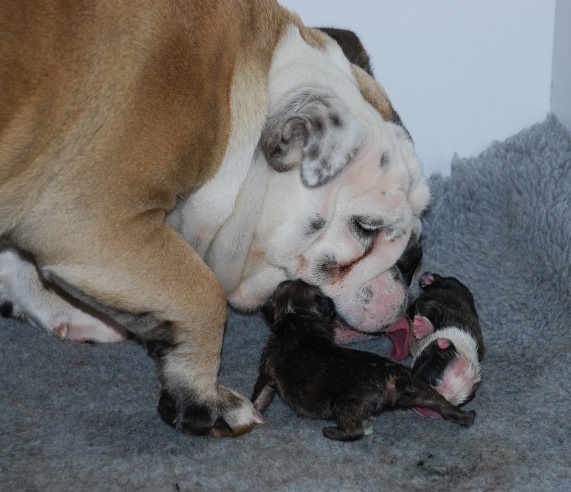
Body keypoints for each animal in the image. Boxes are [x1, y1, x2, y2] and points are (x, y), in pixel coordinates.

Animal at [252, 280, 476, 442]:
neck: (297, 316)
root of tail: (393, 376)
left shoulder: (267, 368)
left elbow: (261, 390)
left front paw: (255, 408)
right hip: (422, 389)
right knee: (441, 403)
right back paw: (465, 416)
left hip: (345, 403)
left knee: (354, 431)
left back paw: (332, 432)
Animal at [388, 270, 482, 414]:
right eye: (430, 381)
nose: (423, 409)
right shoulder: (439, 307)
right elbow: (431, 313)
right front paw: (422, 327)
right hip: (454, 286)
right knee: (442, 280)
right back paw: (428, 278)